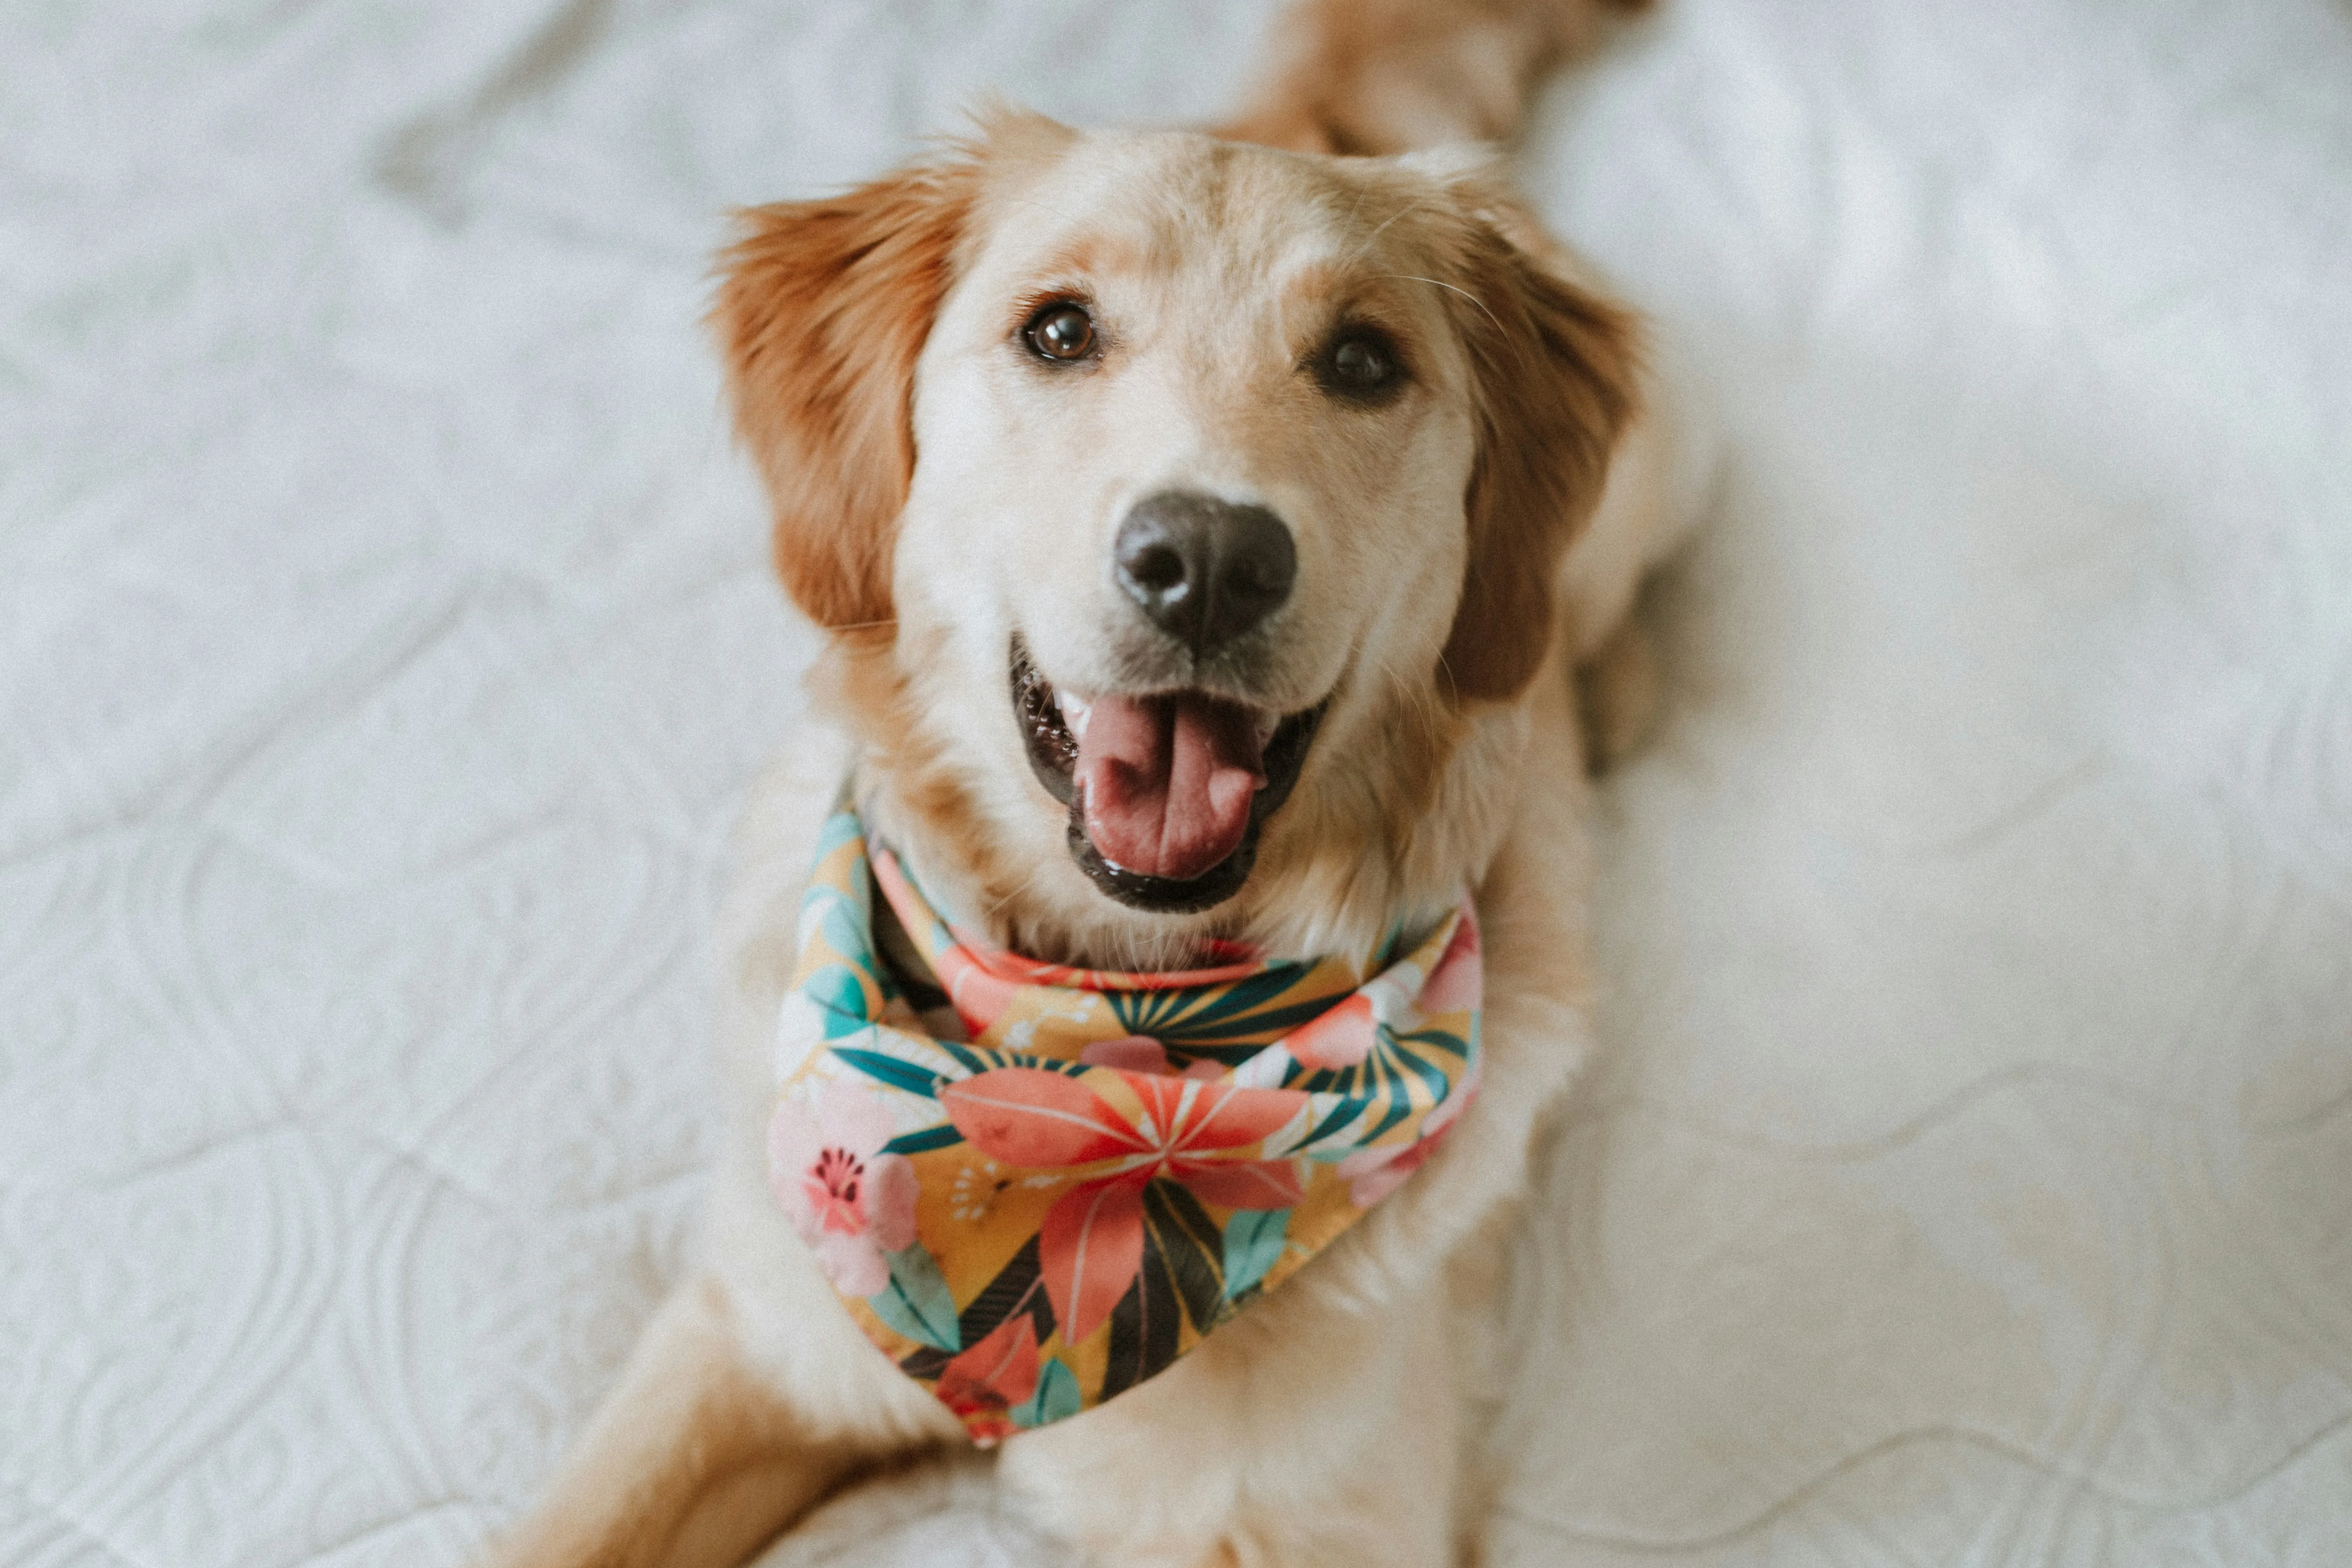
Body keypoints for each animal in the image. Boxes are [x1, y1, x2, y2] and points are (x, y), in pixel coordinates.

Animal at [491, 0, 1674, 1561]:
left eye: (1362, 362)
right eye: (1057, 330)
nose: (1210, 560)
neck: (1109, 1053)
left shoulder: (1313, 1521)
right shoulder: (750, 1339)